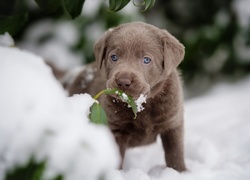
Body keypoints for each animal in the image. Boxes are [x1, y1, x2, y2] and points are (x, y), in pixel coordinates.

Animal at [63, 21, 187, 172]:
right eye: (114, 57)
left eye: (146, 60)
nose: (123, 81)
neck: (141, 106)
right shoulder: (114, 128)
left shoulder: (173, 122)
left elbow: (175, 152)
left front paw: (180, 172)